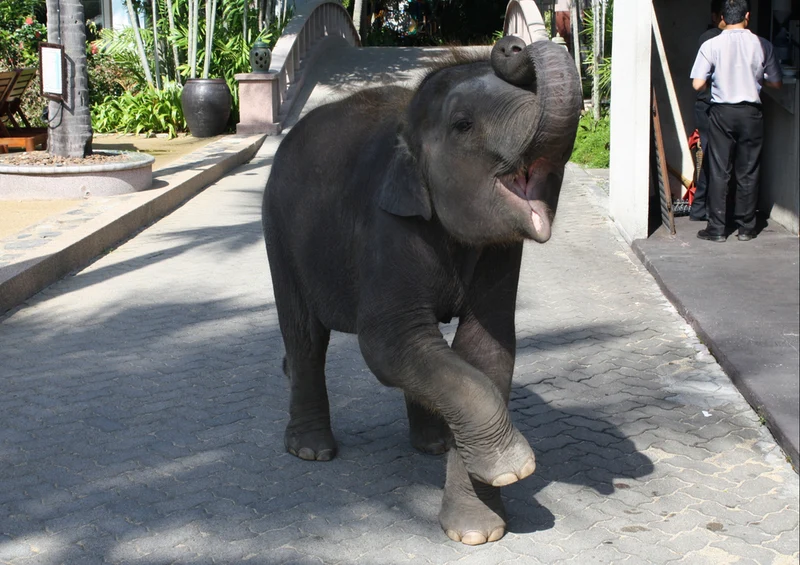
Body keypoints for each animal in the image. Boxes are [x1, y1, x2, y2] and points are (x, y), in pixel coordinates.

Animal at [262, 36, 582, 545]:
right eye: (464, 124)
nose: (512, 45)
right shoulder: (386, 224)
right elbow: (388, 342)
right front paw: (513, 467)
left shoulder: (500, 252)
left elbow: (484, 350)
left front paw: (477, 531)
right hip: (279, 228)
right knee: (305, 336)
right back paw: (311, 450)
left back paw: (432, 443)